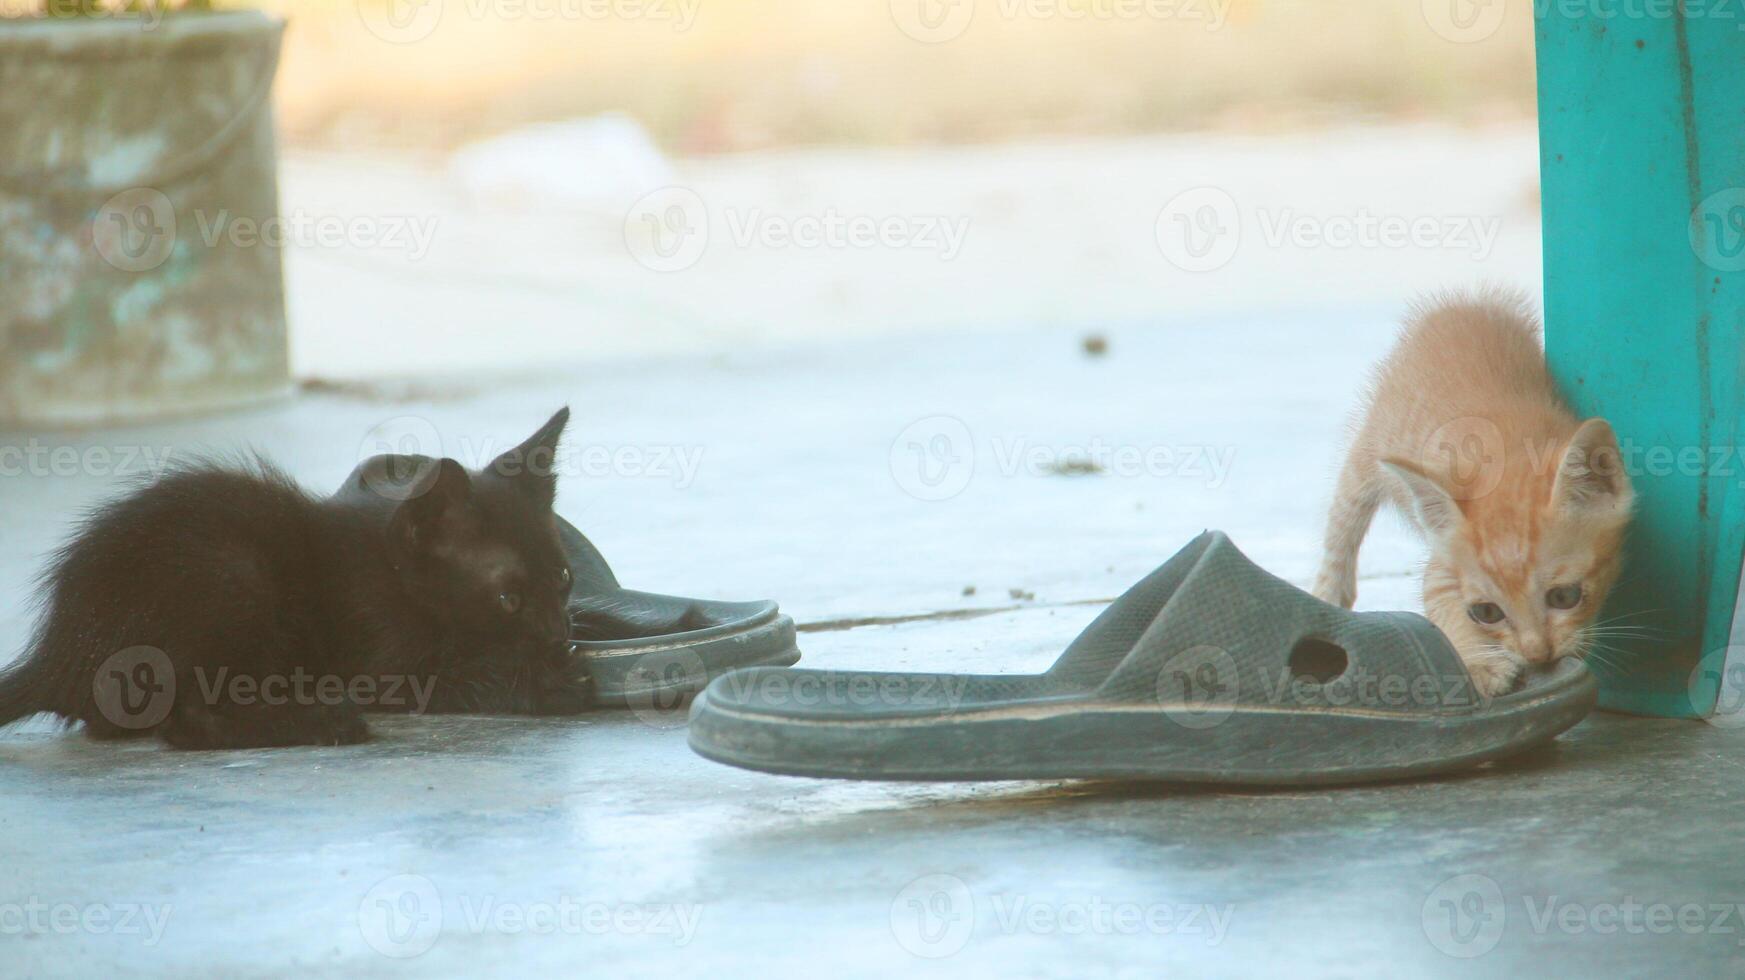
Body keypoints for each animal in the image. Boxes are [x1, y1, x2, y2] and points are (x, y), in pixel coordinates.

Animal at [0, 406, 589, 746]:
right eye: (508, 598)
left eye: (564, 577)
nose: (557, 634)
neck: (391, 572)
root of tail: (59, 652)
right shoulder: (379, 658)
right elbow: (457, 676)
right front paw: (546, 677)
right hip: (235, 575)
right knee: (187, 721)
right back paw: (324, 721)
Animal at [1319, 289, 1633, 694]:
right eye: (1486, 612)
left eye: (1565, 596)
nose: (1538, 655)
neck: (1510, 452)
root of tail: (1464, 301)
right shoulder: (1444, 563)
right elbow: (1442, 602)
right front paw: (1478, 663)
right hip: (1370, 449)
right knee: (1340, 528)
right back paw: (1327, 598)